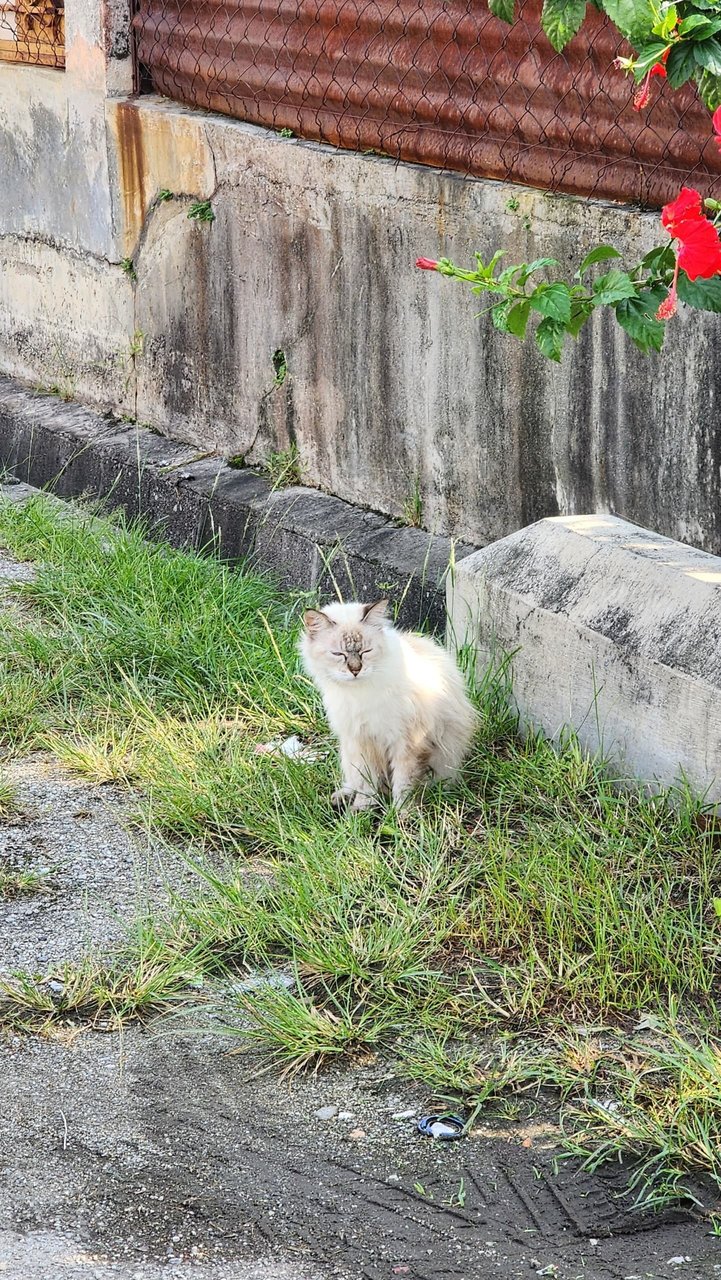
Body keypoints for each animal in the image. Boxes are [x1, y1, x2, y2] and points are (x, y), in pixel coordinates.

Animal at [300, 599, 478, 808]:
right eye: (338, 654)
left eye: (366, 651)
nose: (355, 670)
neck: (359, 694)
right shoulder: (362, 740)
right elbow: (366, 783)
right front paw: (362, 809)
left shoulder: (405, 742)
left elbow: (403, 784)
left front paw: (401, 812)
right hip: (347, 751)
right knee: (354, 782)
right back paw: (341, 797)